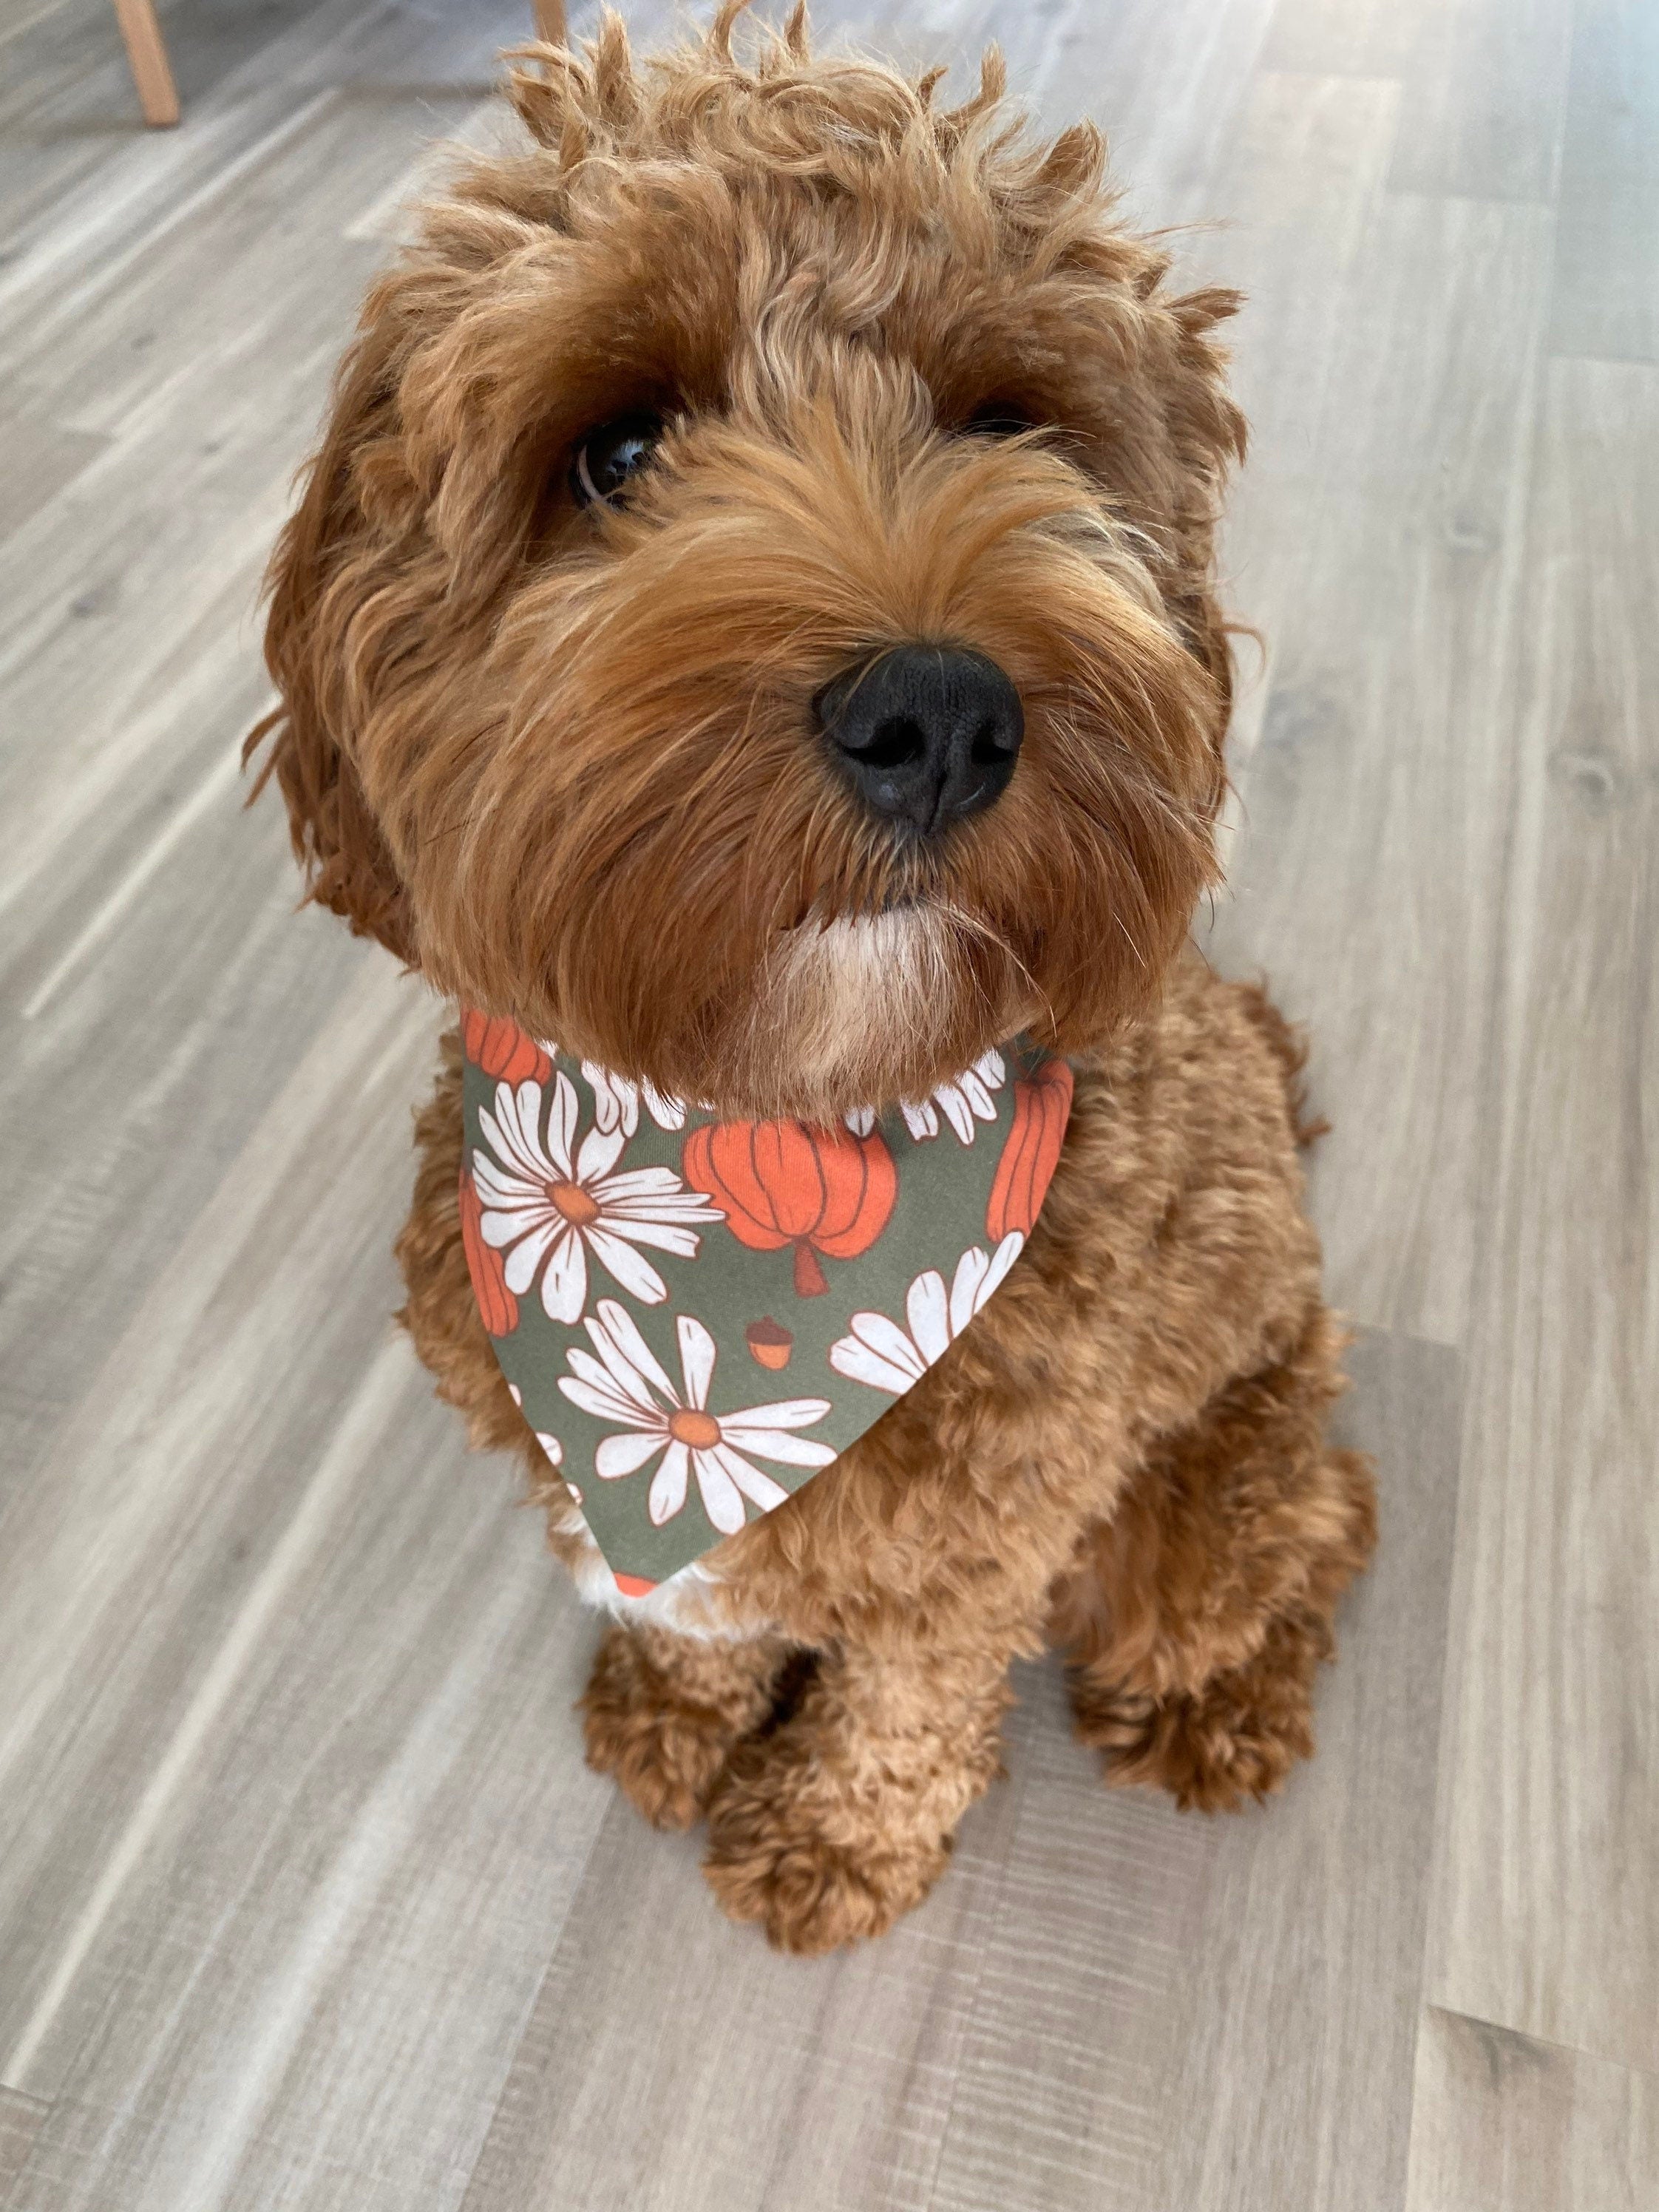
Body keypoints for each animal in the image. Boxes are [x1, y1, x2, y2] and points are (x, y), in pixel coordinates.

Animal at [246, 8, 1380, 1964]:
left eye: (1008, 423)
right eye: (617, 450)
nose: (938, 711)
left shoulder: (982, 1540)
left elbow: (908, 1702)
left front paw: (837, 1841)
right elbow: (680, 1602)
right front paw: (677, 1708)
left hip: (1208, 1487)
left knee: (1304, 1542)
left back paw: (1221, 1707)